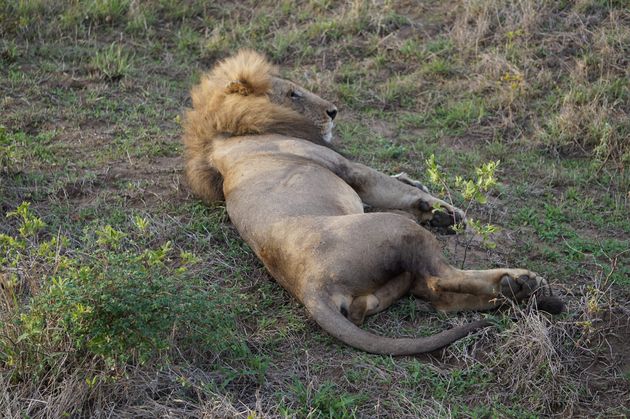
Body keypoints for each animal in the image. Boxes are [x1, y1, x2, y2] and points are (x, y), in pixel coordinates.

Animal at [181, 50, 564, 356]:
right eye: (293, 93)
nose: (333, 111)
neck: (229, 132)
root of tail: (310, 288)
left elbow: (397, 183)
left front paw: (427, 199)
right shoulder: (345, 167)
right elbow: (383, 183)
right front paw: (446, 212)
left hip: (389, 285)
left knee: (431, 294)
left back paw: (513, 290)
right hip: (399, 230)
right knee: (441, 282)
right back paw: (521, 282)